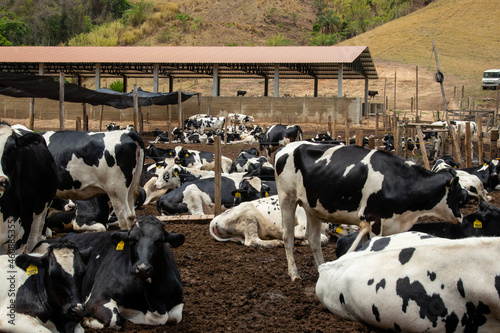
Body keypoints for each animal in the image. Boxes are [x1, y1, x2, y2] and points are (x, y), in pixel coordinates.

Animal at [276, 141, 462, 280]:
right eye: (459, 193)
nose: (460, 218)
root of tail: (285, 148)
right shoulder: (374, 219)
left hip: (312, 206)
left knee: (313, 240)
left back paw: (322, 269)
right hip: (287, 198)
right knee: (288, 236)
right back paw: (294, 274)